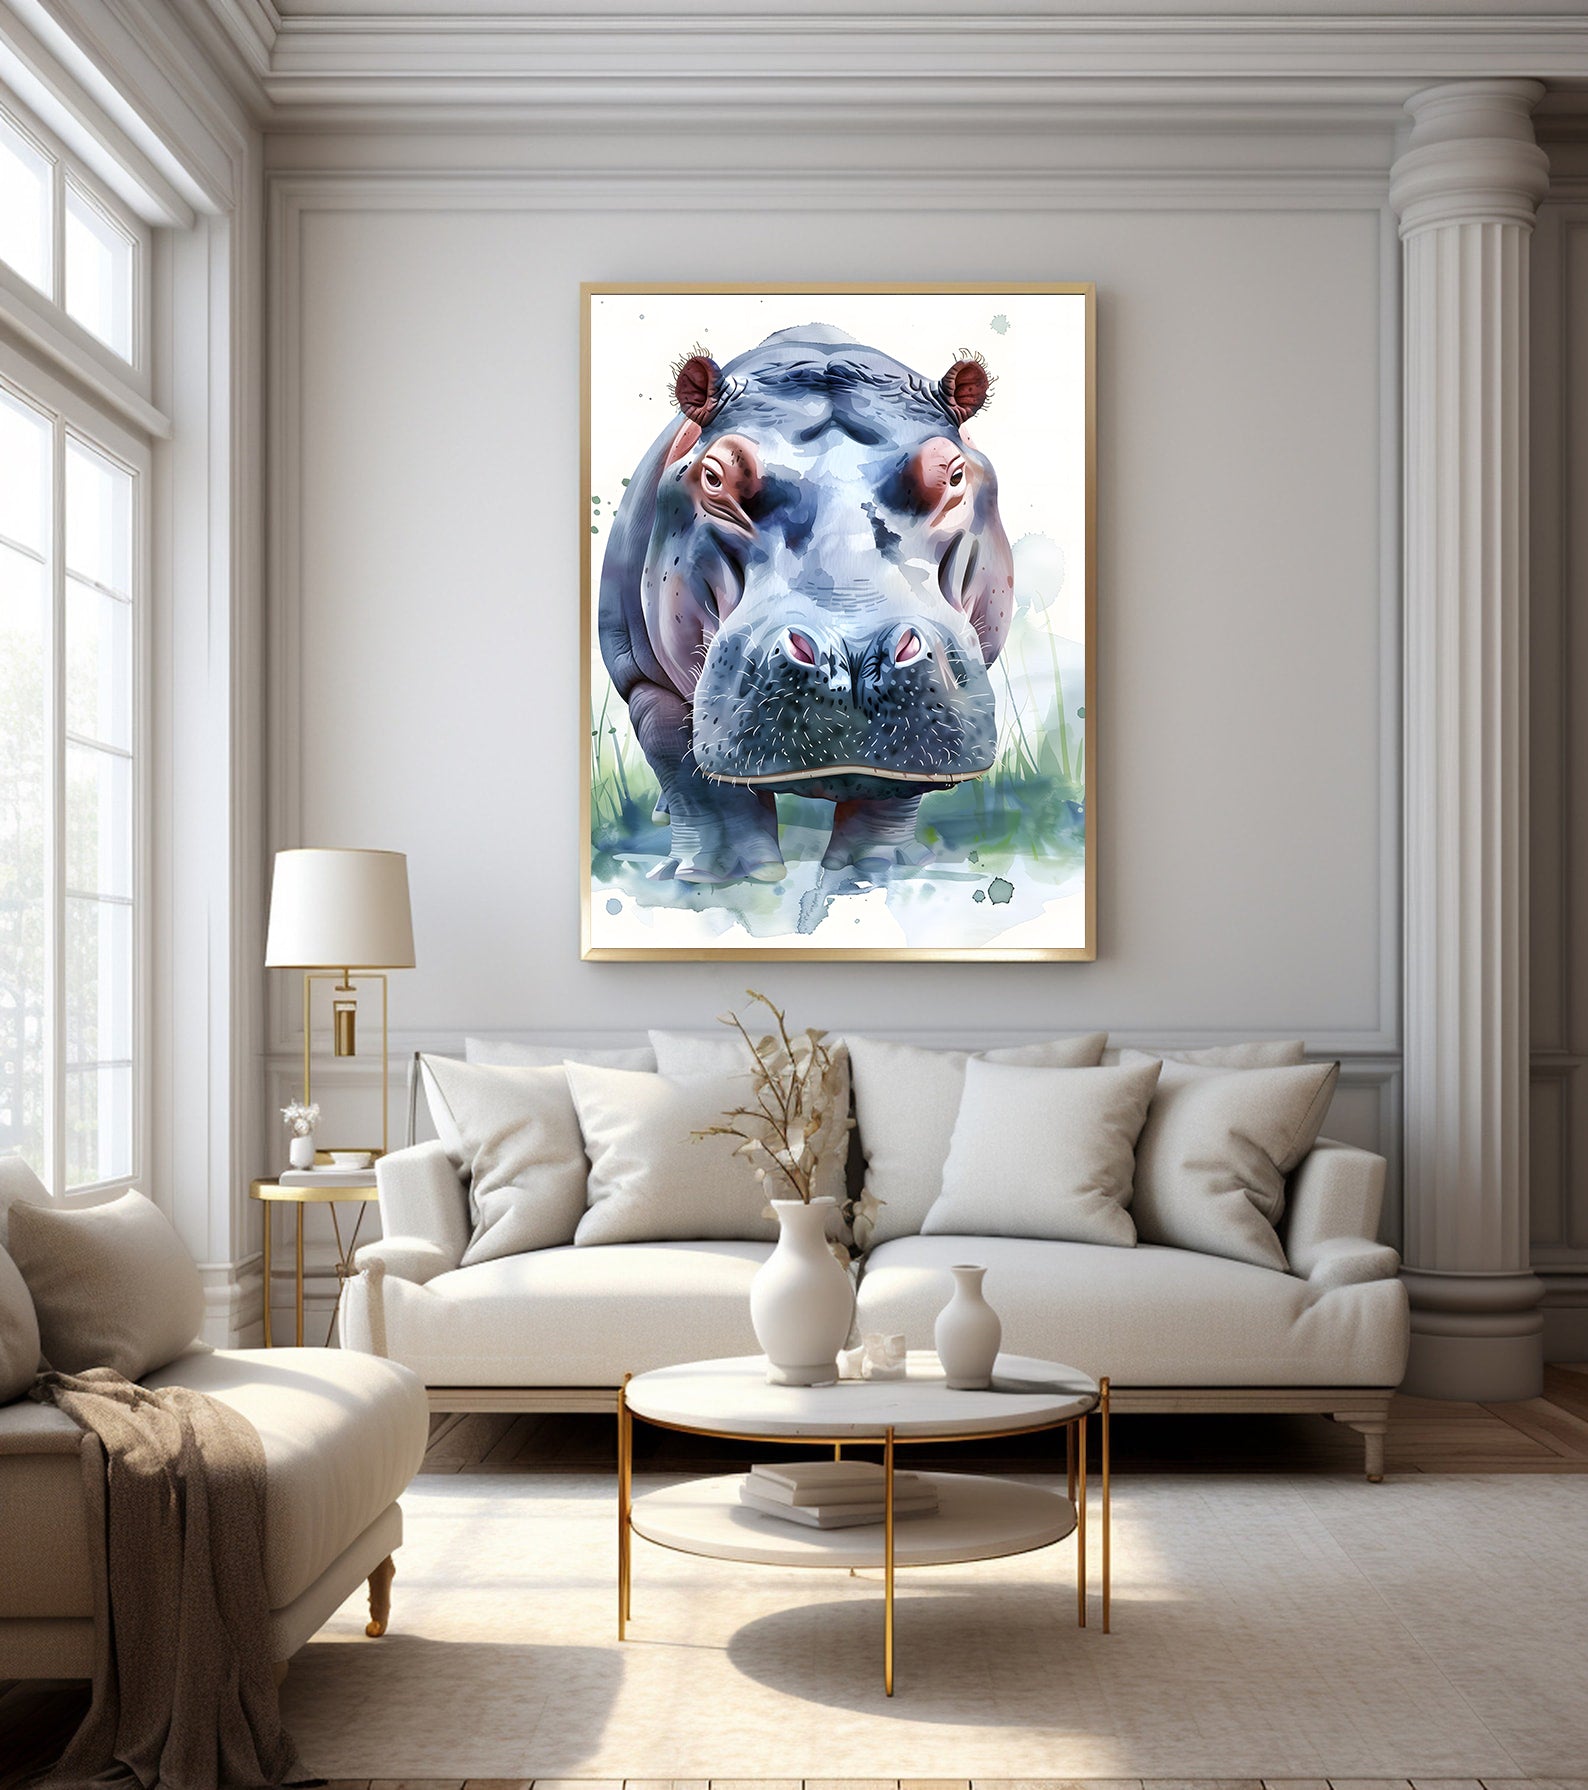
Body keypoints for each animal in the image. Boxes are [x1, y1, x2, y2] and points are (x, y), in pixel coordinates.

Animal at [598, 325, 1015, 885]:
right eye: (714, 476)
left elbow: (894, 791)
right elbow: (693, 781)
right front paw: (722, 876)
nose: (855, 653)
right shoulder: (643, 680)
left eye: (952, 474)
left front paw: (876, 867)